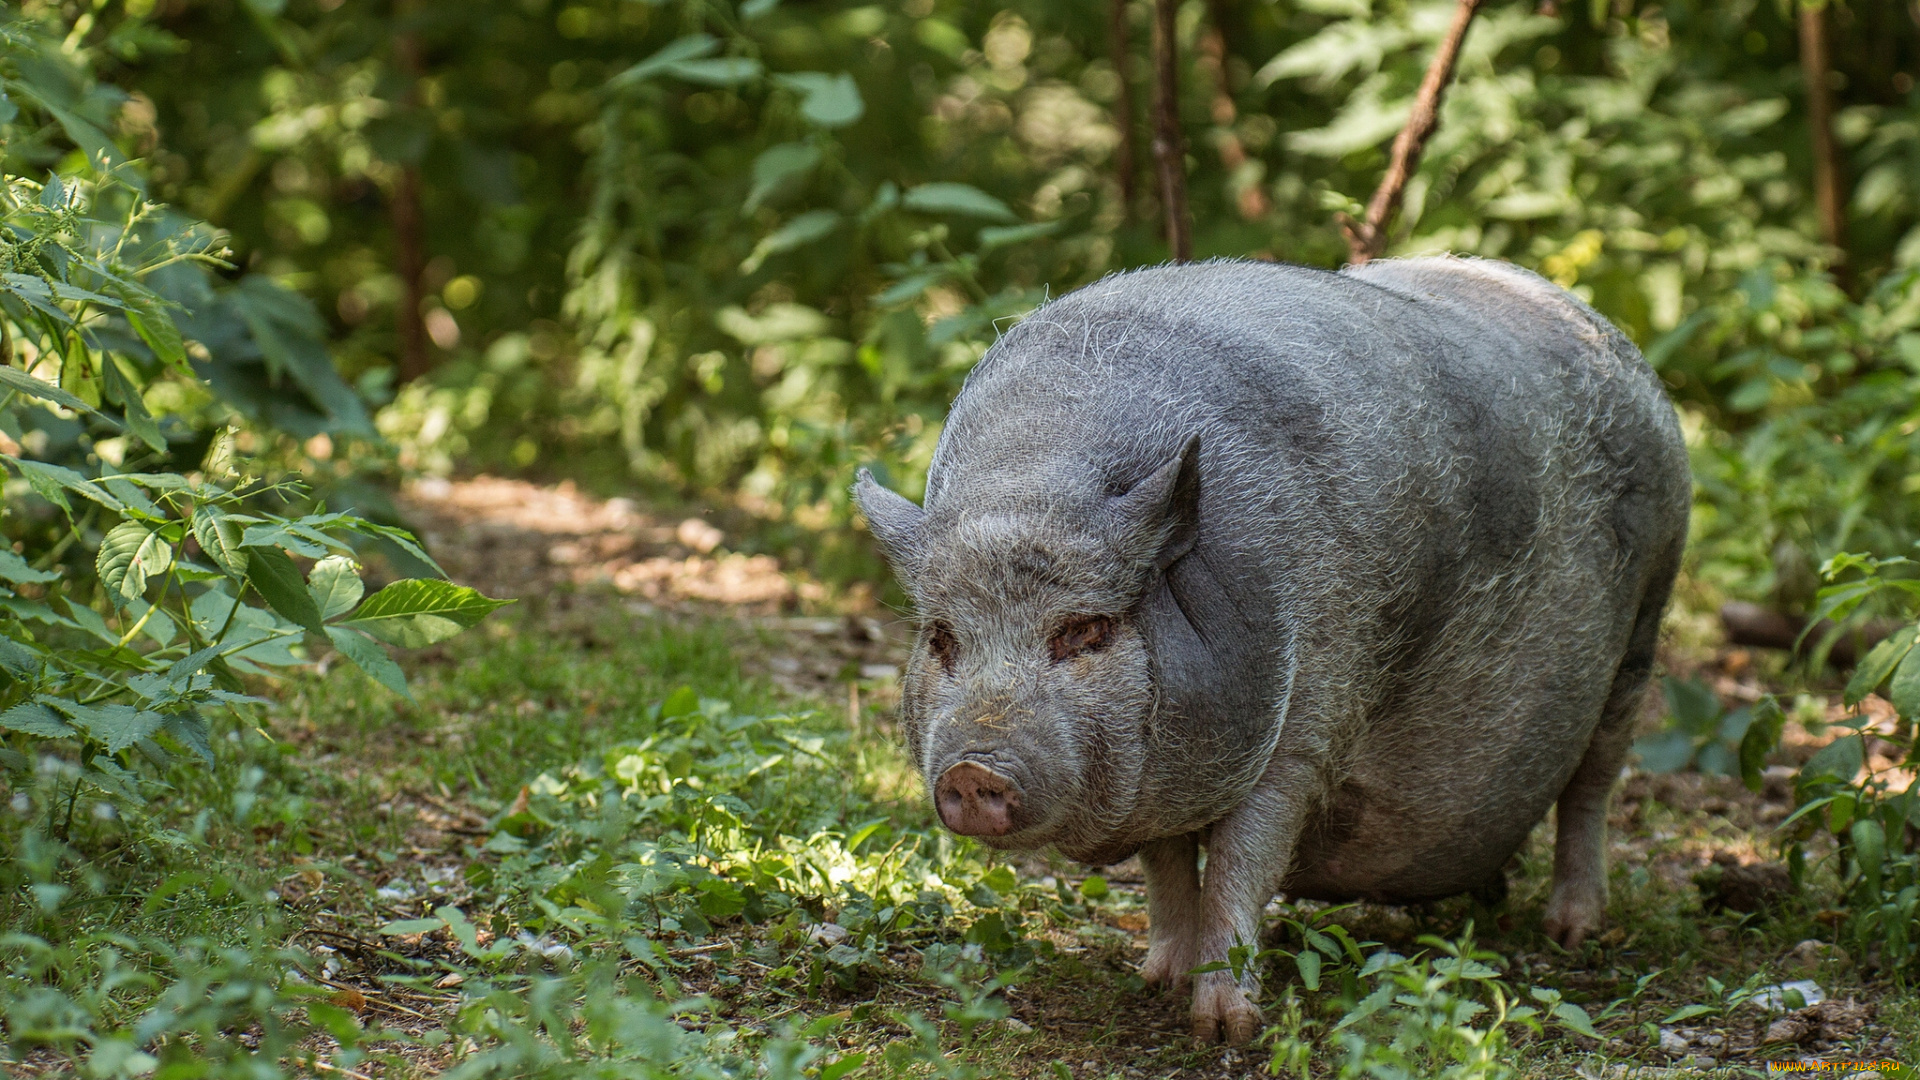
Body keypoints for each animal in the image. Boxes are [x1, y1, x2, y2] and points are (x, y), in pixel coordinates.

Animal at [856, 253, 1681, 1045]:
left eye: (1086, 631)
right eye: (942, 637)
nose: (973, 770)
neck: (1035, 484)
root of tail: (1615, 344)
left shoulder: (1310, 723)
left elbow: (1239, 866)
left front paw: (1226, 1029)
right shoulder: (1164, 775)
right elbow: (1167, 870)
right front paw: (1156, 982)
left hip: (1646, 629)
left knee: (1592, 786)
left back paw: (1574, 932)